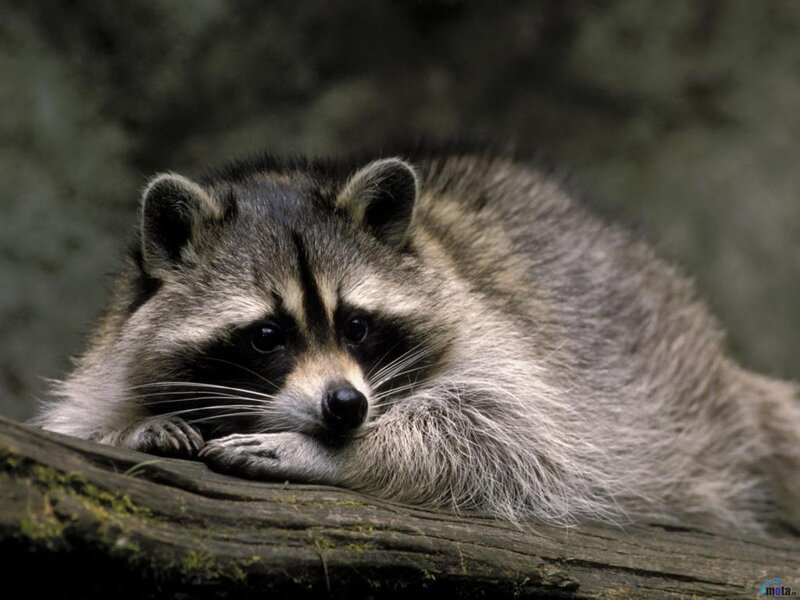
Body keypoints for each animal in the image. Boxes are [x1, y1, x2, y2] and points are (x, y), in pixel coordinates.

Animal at [35, 147, 800, 533]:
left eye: (357, 324)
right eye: (267, 336)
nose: (345, 408)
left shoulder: (503, 339)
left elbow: (507, 435)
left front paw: (331, 451)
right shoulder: (112, 345)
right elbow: (77, 419)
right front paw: (133, 428)